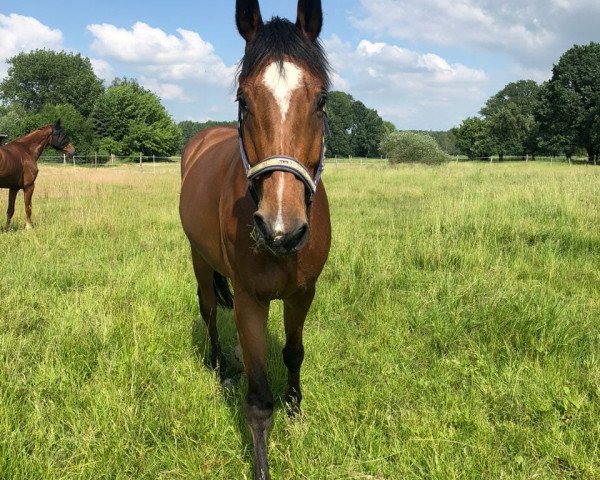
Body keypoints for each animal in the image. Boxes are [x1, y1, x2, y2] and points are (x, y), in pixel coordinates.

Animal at [180, 1, 330, 478]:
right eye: (243, 101)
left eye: (322, 100)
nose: (281, 229)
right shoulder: (250, 300)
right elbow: (259, 402)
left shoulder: (304, 292)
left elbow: (294, 353)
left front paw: (296, 411)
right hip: (199, 259)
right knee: (208, 309)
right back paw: (219, 367)